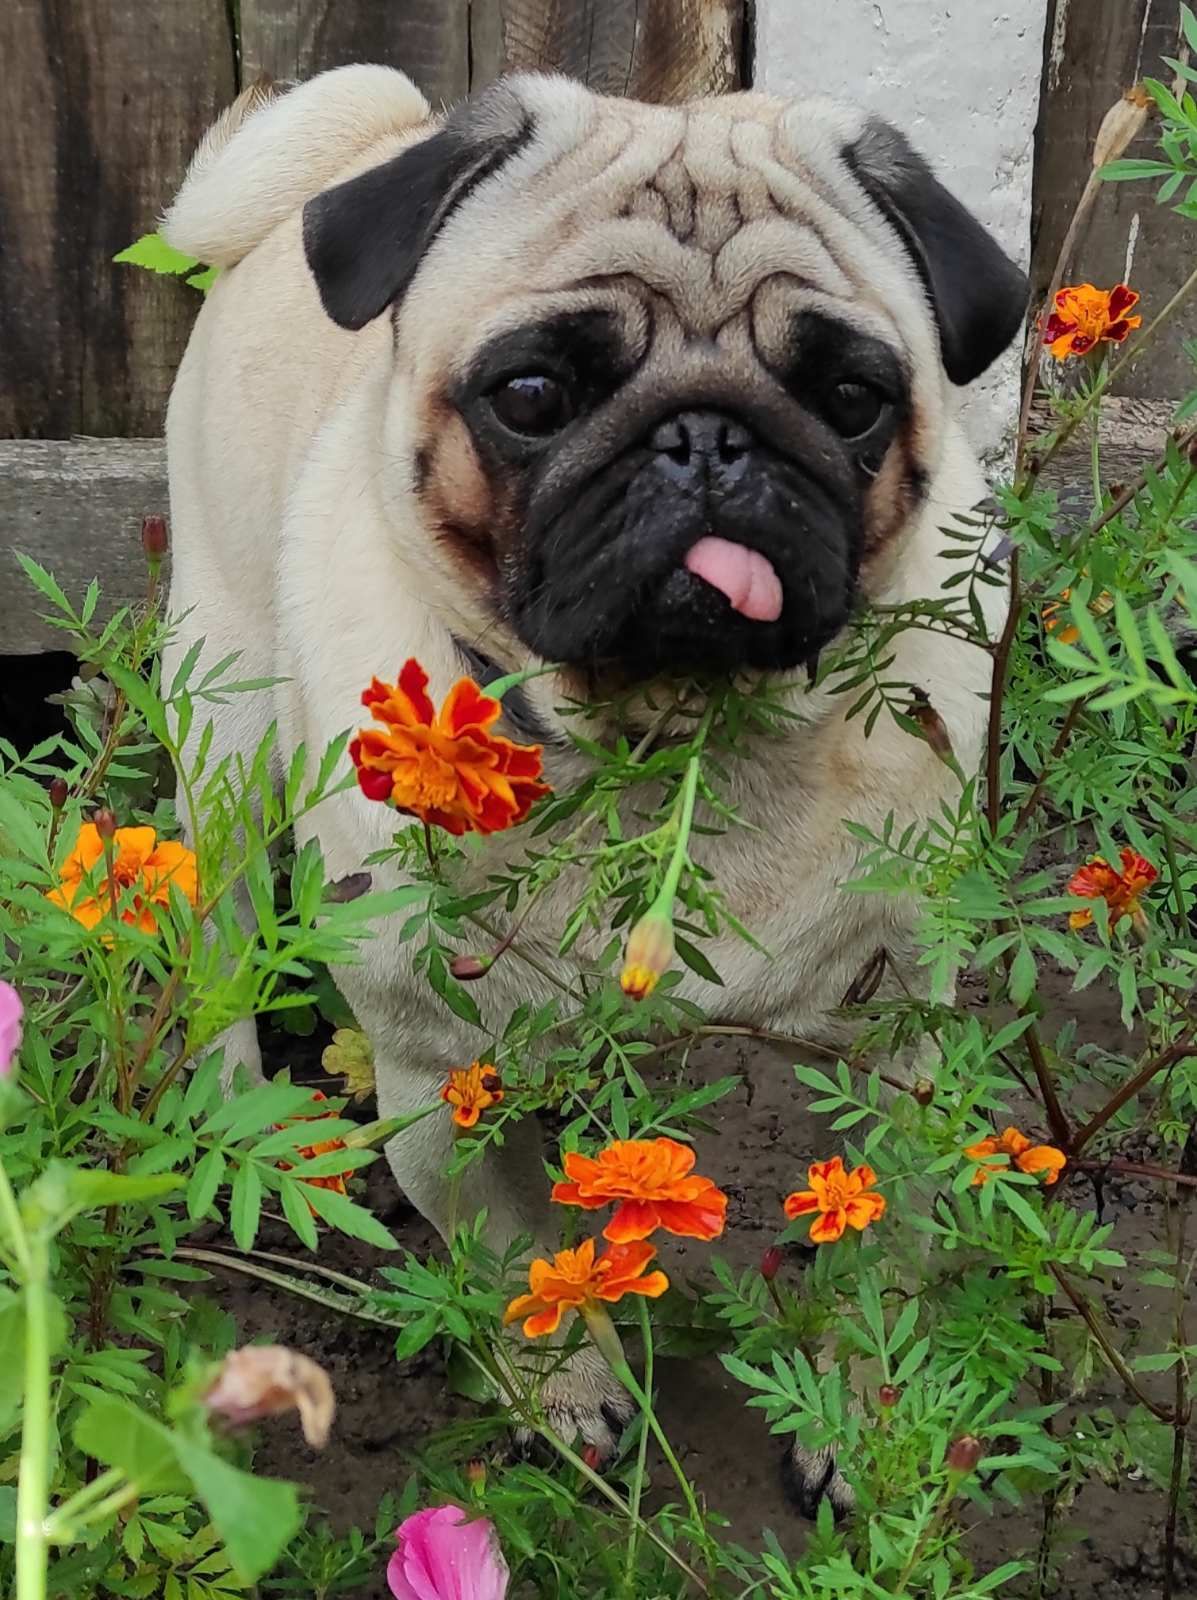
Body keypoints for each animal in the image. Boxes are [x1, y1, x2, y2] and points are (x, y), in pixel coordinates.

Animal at [156, 65, 1017, 1510]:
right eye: (534, 393)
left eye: (851, 398)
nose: (708, 436)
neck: (683, 750)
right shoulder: (431, 1075)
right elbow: (515, 1256)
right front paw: (568, 1390)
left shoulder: (898, 1046)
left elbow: (880, 1247)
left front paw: (863, 1409)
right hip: (221, 711)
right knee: (214, 920)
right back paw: (233, 1112)